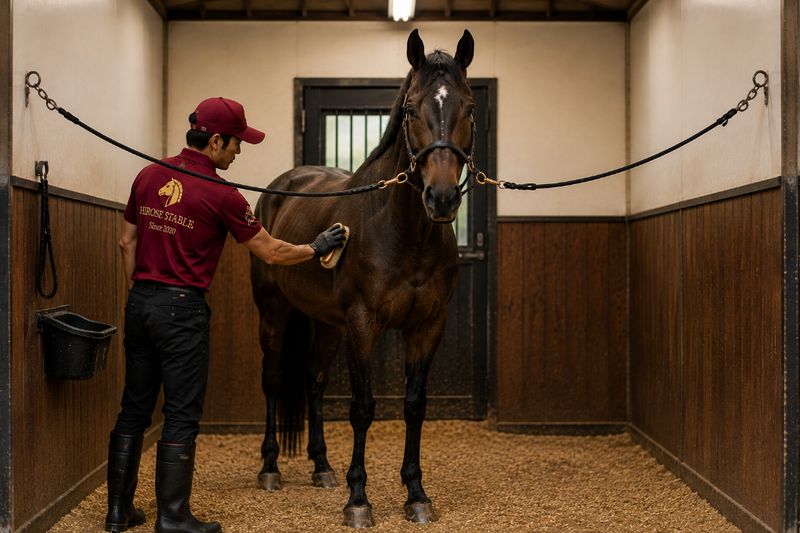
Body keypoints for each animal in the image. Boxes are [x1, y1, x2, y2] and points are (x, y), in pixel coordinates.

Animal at [250, 28, 475, 528]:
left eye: (469, 107)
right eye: (411, 109)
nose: (442, 198)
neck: (405, 234)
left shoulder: (427, 326)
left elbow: (414, 405)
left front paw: (416, 494)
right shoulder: (362, 323)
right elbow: (363, 407)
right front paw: (358, 500)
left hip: (327, 325)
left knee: (314, 381)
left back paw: (322, 467)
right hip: (274, 312)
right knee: (272, 380)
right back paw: (271, 468)